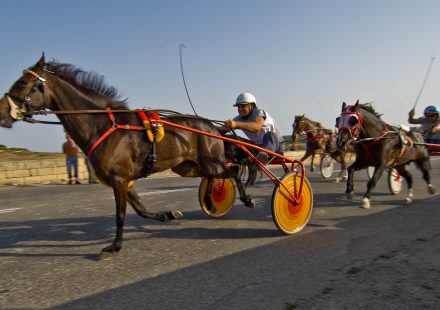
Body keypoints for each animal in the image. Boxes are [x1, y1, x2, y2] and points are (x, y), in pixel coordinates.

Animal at [0, 54, 254, 258]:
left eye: (23, 82)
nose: (2, 112)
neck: (102, 126)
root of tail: (213, 127)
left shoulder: (119, 179)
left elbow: (121, 215)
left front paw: (114, 246)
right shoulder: (123, 179)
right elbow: (141, 209)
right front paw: (167, 214)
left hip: (210, 162)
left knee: (231, 171)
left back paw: (246, 199)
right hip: (189, 166)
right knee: (213, 177)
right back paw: (211, 201)